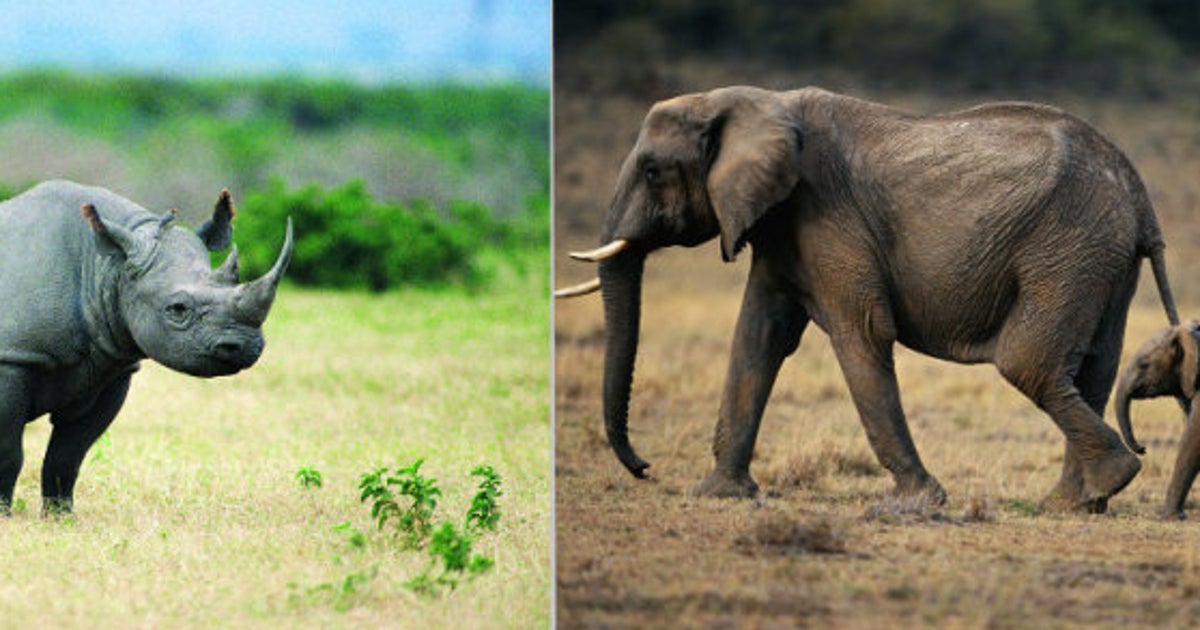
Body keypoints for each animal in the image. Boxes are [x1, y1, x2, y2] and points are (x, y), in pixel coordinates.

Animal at [559, 85, 1180, 513]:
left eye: (652, 170)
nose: (644, 467)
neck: (751, 101)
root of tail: (1140, 195)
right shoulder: (781, 227)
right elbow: (757, 338)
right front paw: (719, 495)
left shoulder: (827, 216)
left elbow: (860, 333)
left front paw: (917, 503)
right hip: (1101, 257)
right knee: (1092, 369)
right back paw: (1075, 503)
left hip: (1069, 245)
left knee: (1028, 363)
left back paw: (1108, 480)